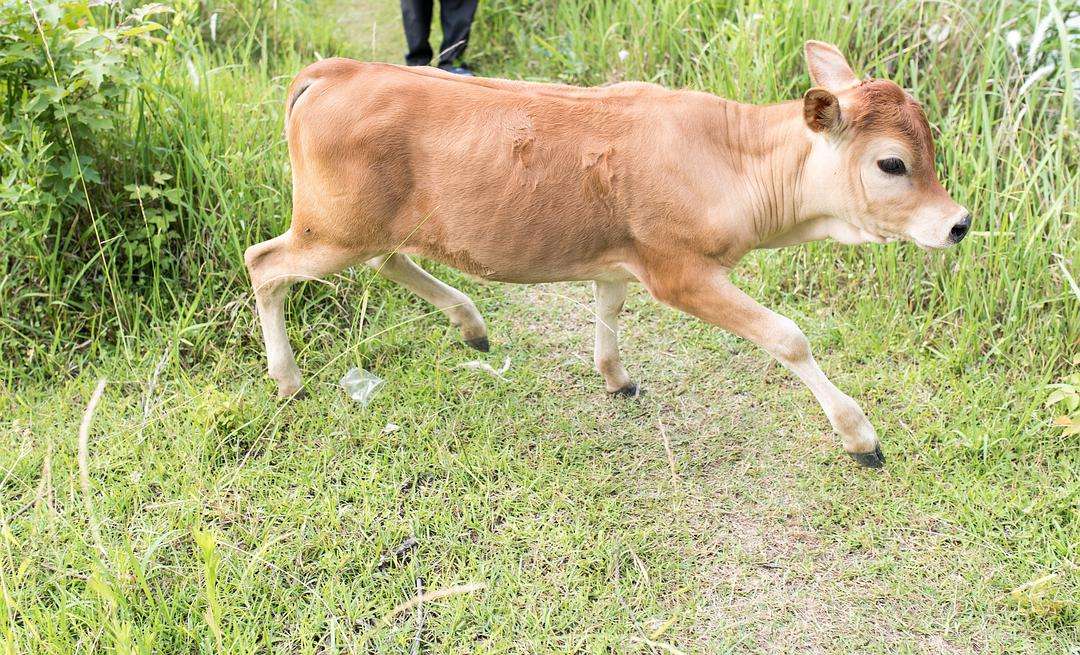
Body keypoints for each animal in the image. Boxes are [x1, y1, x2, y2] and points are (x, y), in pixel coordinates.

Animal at [247, 41, 972, 469]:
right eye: (892, 163)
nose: (960, 223)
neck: (735, 159)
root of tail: (334, 69)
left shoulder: (621, 257)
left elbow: (609, 310)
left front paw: (615, 376)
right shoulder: (679, 270)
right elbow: (789, 337)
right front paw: (860, 436)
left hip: (367, 226)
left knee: (387, 261)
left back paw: (472, 323)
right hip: (332, 227)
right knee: (264, 263)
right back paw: (288, 380)